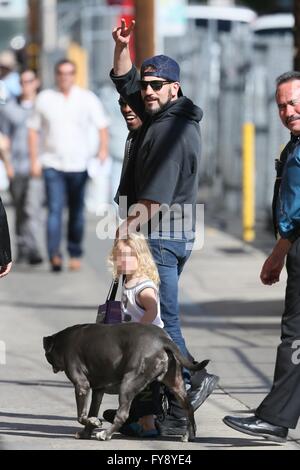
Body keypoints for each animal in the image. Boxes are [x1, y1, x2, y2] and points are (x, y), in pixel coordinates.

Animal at [44, 324, 209, 440]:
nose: (52, 368)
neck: (63, 342)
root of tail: (163, 339)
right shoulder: (98, 390)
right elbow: (92, 411)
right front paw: (87, 431)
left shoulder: (81, 386)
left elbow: (81, 416)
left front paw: (95, 424)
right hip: (176, 384)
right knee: (189, 408)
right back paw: (188, 435)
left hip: (128, 383)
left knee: (122, 414)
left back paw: (106, 434)